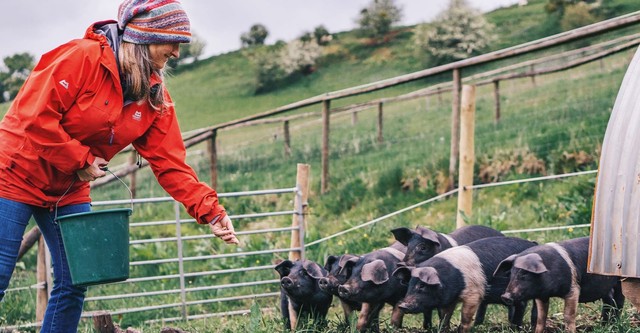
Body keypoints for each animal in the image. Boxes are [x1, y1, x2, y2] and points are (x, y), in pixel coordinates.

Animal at [392, 236, 536, 332]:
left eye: (422, 286)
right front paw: (443, 329)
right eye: (409, 285)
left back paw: (519, 327)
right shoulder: (449, 300)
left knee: (525, 305)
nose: (403, 305)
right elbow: (444, 317)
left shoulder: (474, 293)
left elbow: (465, 317)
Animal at [492, 235, 624, 332]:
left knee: (619, 300)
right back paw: (604, 325)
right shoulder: (542, 296)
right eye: (511, 274)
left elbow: (568, 316)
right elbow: (540, 318)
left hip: (621, 280)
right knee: (609, 302)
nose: (505, 296)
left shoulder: (574, 289)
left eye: (524, 275)